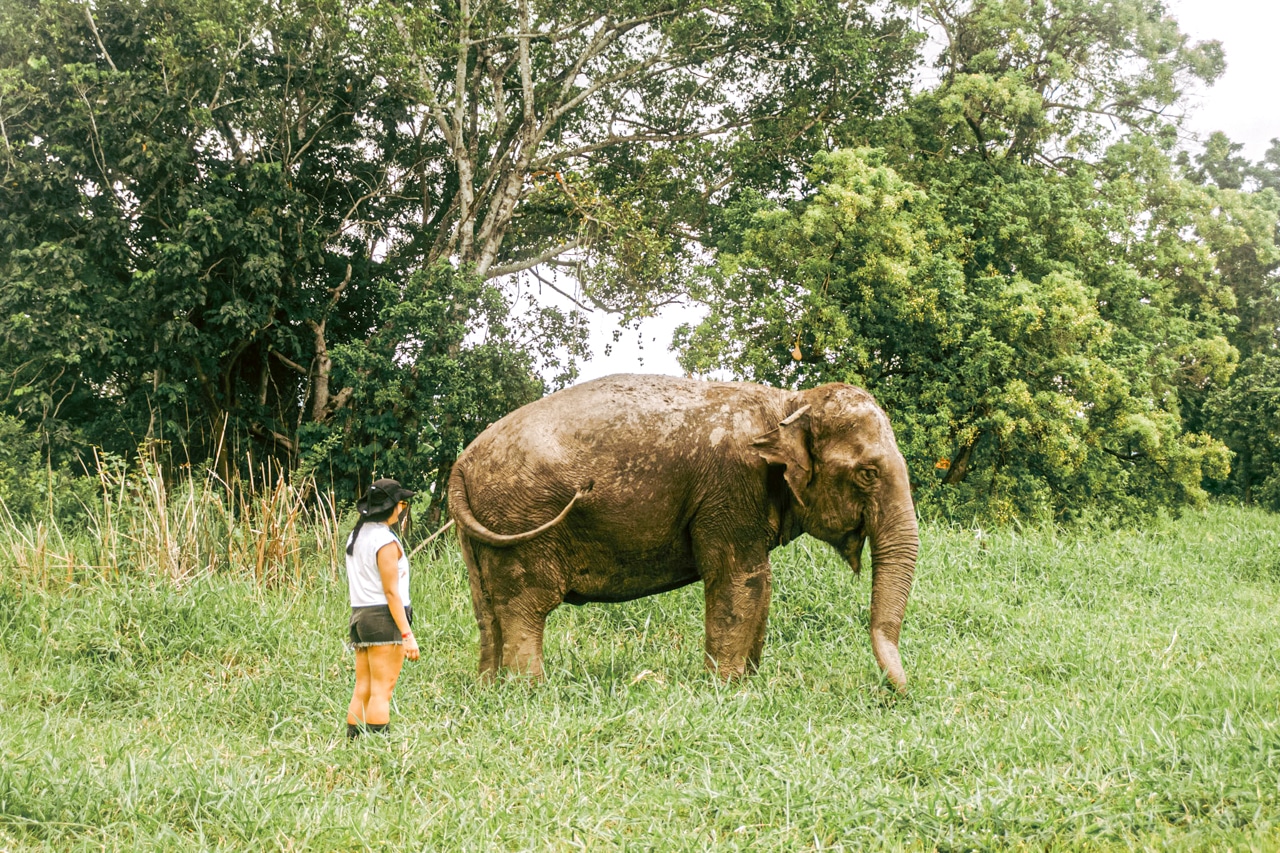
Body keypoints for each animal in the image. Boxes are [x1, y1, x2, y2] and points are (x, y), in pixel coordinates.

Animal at [448, 373, 920, 690]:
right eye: (867, 474)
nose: (897, 692)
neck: (788, 403)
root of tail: (461, 463)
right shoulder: (732, 487)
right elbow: (739, 580)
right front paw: (724, 690)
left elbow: (761, 583)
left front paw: (747, 684)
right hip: (521, 519)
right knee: (525, 606)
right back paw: (530, 691)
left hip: (483, 531)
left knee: (487, 608)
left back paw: (489, 688)